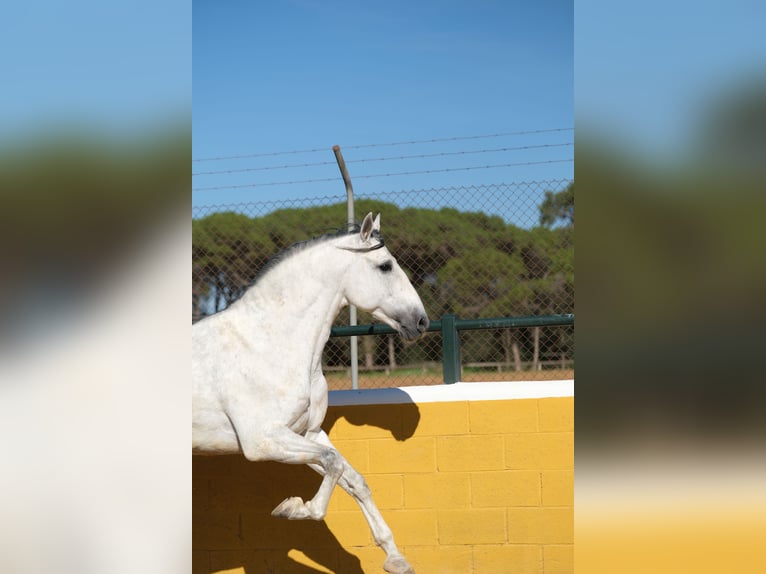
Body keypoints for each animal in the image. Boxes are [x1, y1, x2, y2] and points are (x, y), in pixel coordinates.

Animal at [192, 214, 428, 574]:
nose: (421, 322)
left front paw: (396, 559)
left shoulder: (309, 433)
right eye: (385, 266)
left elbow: (353, 478)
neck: (268, 343)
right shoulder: (263, 441)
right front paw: (292, 508)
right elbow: (333, 465)